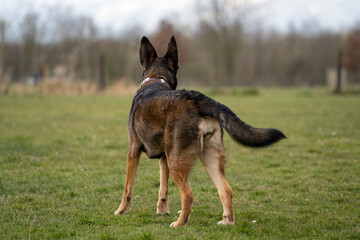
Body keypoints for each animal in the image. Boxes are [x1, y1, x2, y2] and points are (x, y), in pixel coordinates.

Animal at [114, 35, 286, 227]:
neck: (155, 80)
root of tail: (199, 99)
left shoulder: (133, 152)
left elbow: (127, 188)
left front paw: (121, 210)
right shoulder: (164, 158)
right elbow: (163, 190)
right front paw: (162, 211)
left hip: (178, 162)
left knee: (188, 195)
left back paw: (180, 223)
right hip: (209, 158)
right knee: (226, 190)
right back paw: (227, 221)